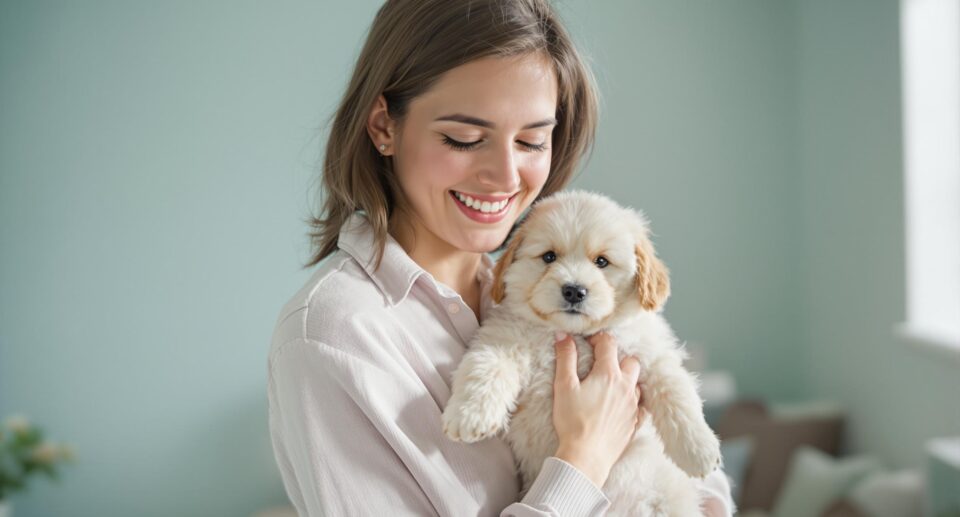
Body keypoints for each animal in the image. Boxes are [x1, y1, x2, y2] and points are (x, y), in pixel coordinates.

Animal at [442, 190, 720, 516]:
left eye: (602, 261)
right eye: (549, 257)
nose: (574, 291)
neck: (573, 334)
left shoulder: (649, 354)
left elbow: (677, 393)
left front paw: (699, 450)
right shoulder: (502, 339)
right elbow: (485, 368)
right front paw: (468, 415)